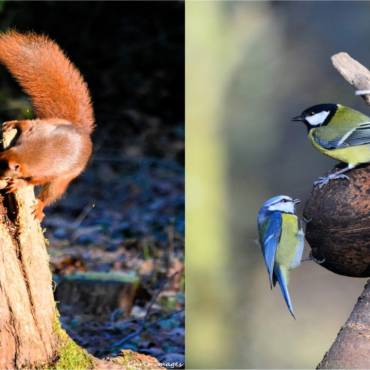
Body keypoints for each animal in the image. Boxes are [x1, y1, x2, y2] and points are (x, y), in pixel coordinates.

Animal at [0, 31, 94, 220]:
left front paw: (19, 184)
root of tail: (81, 130)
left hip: (66, 177)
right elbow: (25, 124)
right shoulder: (32, 132)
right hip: (50, 122)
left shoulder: (48, 171)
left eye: (2, 171)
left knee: (51, 193)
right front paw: (14, 123)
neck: (26, 154)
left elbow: (34, 180)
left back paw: (39, 207)